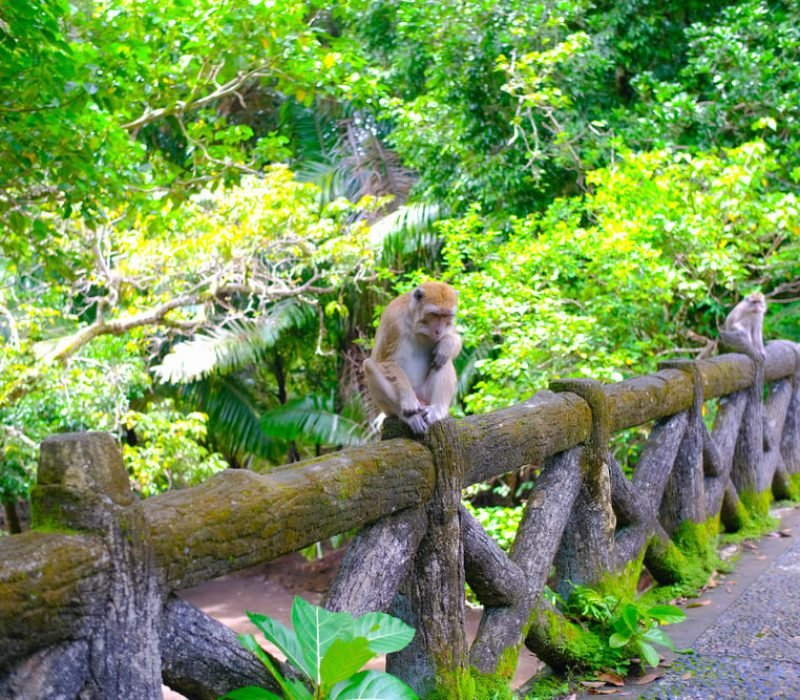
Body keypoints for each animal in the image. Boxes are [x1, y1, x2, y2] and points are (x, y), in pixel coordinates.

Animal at [364, 281, 462, 434]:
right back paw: (409, 417)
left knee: (443, 361)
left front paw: (446, 344)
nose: (438, 331)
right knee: (369, 366)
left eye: (446, 315)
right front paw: (409, 401)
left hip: (426, 395)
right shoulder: (393, 321)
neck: (414, 321)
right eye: (435, 314)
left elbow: (453, 338)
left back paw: (437, 410)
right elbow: (385, 361)